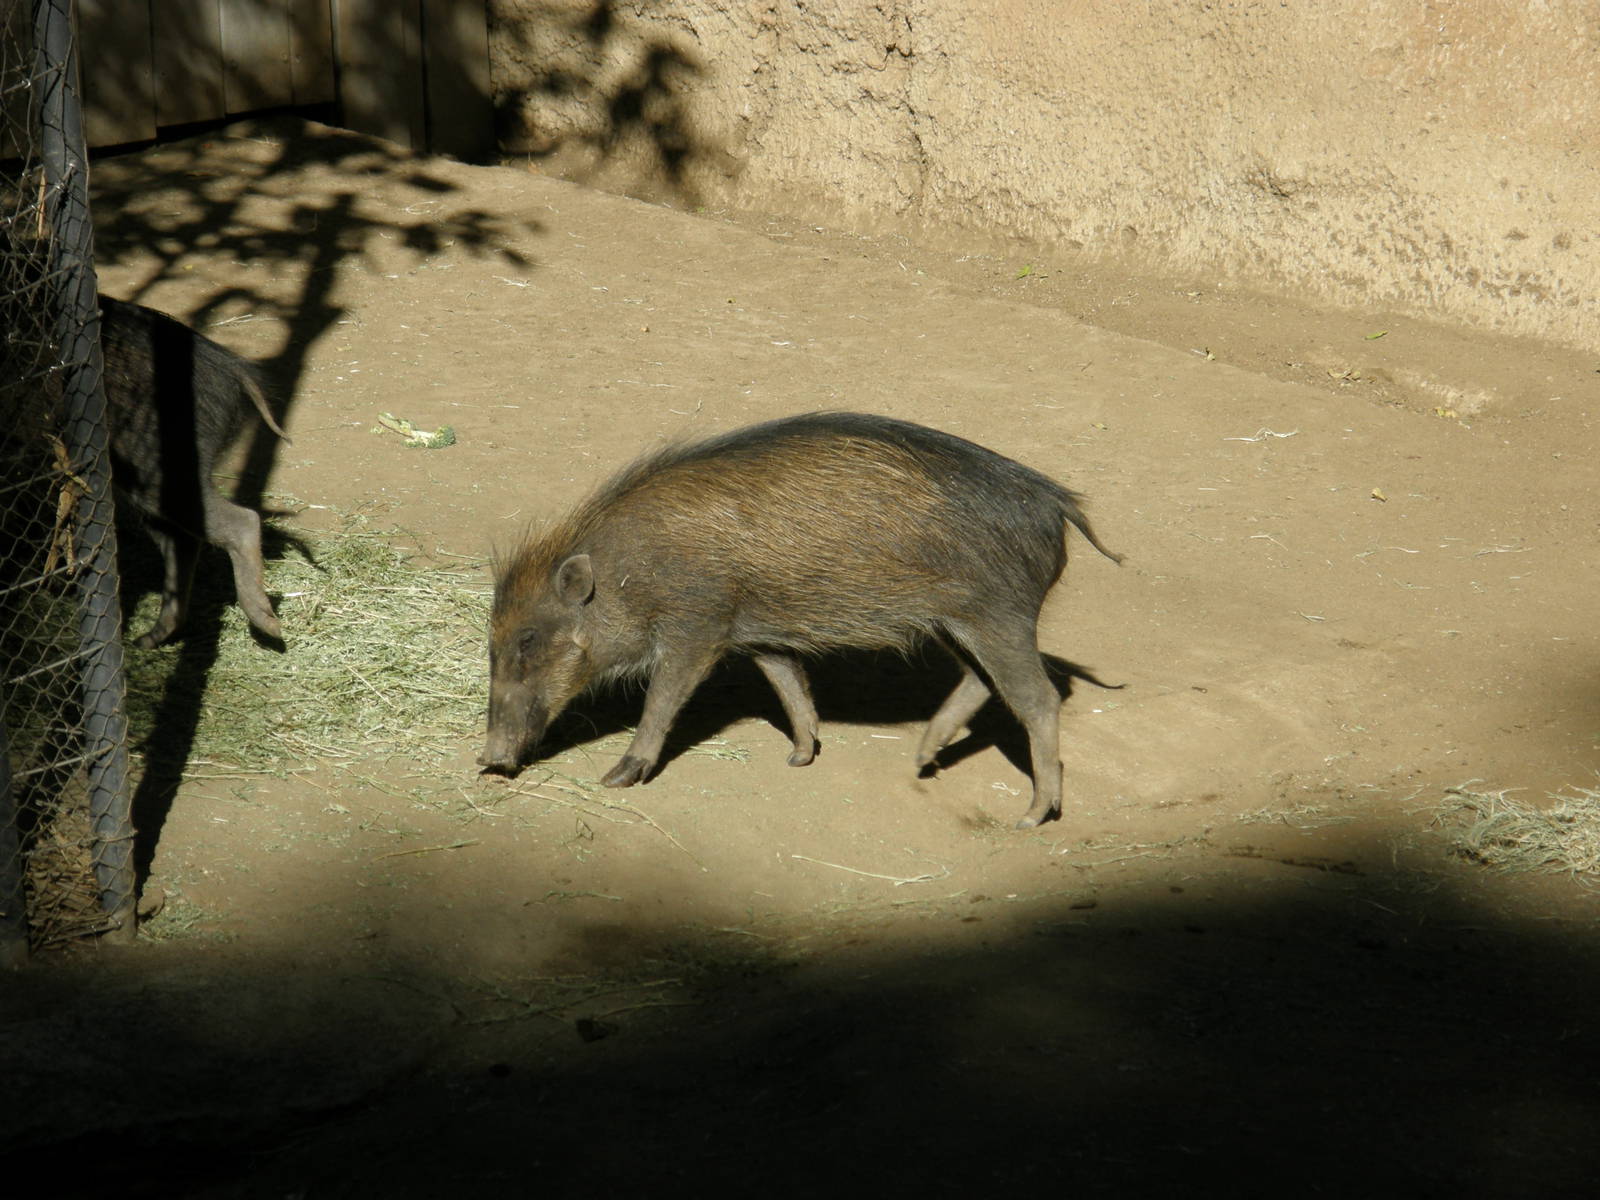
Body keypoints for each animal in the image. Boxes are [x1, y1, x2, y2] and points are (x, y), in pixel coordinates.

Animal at [99, 295, 288, 648]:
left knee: (240, 521)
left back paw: (271, 627)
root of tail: (231, 368)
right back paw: (146, 641)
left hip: (158, 466)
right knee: (182, 541)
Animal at [479, 411, 1121, 828]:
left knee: (1038, 698)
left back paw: (1032, 816)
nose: (488, 760)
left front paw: (618, 776)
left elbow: (662, 700)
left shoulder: (699, 627)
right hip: (957, 624)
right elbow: (787, 681)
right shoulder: (758, 631)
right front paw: (802, 755)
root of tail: (1059, 501)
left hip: (997, 616)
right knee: (981, 682)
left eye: (528, 639)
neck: (627, 574)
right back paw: (920, 762)